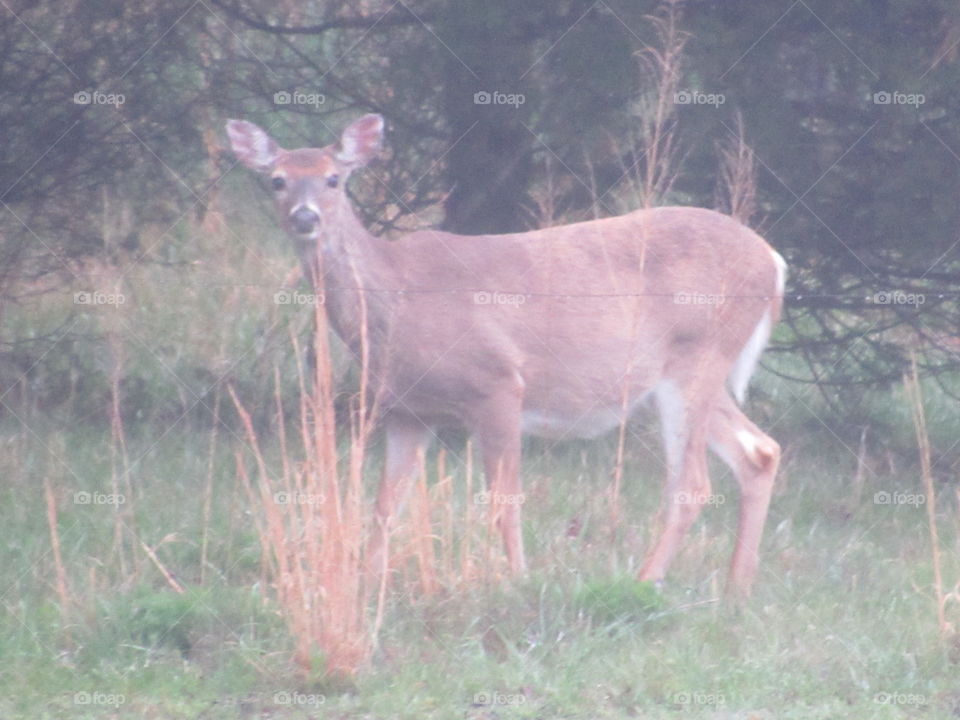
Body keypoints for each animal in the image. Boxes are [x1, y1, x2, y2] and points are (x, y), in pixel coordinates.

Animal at [226, 113, 786, 598]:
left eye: (333, 179)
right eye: (276, 181)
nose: (305, 217)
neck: (396, 300)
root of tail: (773, 261)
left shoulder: (497, 382)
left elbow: (503, 503)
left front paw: (516, 581)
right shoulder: (406, 409)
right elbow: (385, 504)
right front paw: (367, 582)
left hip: (696, 358)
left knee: (692, 483)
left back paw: (647, 582)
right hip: (683, 376)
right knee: (759, 451)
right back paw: (737, 589)